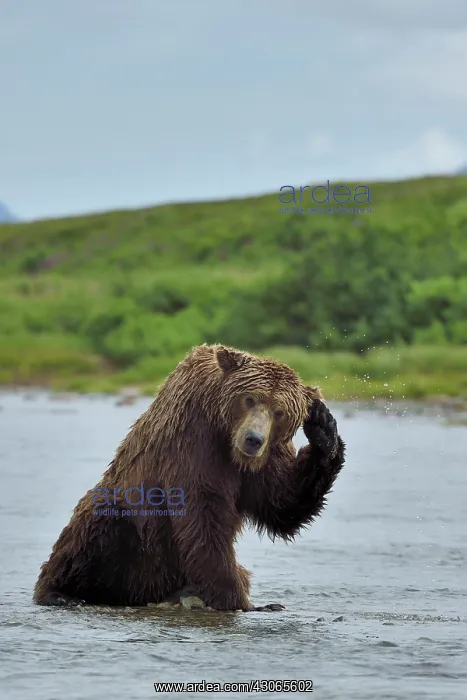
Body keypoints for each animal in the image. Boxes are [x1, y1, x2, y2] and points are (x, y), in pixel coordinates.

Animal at [34, 343, 345, 611]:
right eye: (250, 398)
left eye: (279, 412)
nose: (253, 439)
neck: (226, 437)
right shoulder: (192, 442)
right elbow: (203, 514)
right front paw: (237, 600)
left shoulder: (266, 458)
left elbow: (281, 502)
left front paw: (323, 427)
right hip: (133, 535)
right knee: (94, 525)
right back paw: (59, 593)